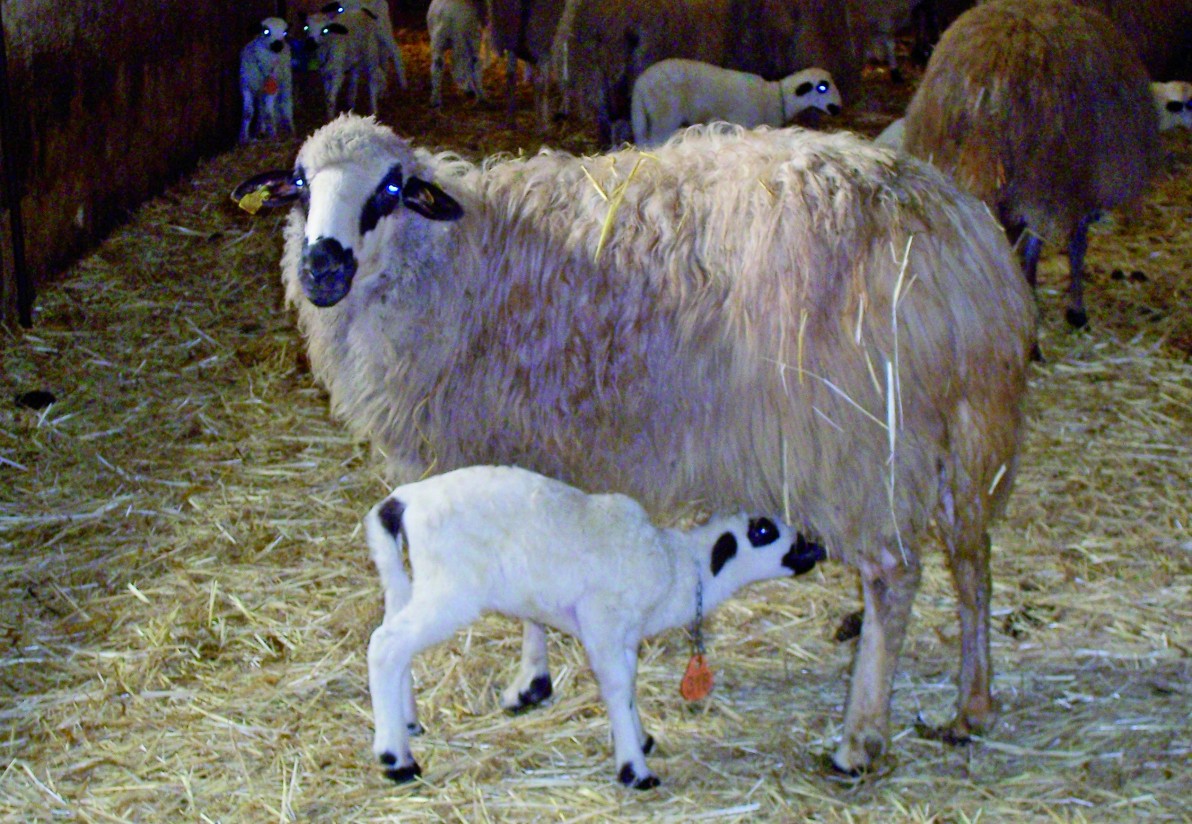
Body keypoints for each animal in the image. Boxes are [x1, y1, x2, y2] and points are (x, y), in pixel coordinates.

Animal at [367, 467, 824, 791]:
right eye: (763, 530)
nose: (815, 548)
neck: (679, 567)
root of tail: (403, 500)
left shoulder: (626, 635)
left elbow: (630, 682)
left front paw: (640, 738)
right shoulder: (602, 620)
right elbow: (617, 686)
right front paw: (635, 769)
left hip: (414, 583)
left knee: (395, 643)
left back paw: (407, 725)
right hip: (452, 590)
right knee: (385, 645)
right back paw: (396, 759)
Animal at [629, 59, 843, 148]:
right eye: (822, 87)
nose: (838, 108)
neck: (777, 96)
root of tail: (640, 85)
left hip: (646, 114)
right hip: (665, 112)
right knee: (657, 137)